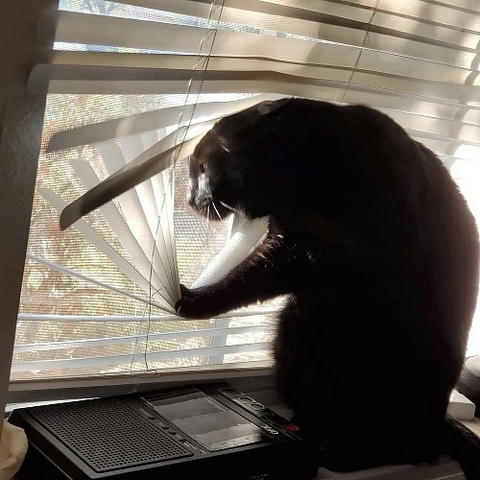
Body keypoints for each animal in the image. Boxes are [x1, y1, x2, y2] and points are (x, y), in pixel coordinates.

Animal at [175, 98, 480, 477]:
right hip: (295, 330)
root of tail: (438, 421)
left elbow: (245, 279)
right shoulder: (288, 243)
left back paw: (334, 450)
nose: (189, 199)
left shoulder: (317, 256)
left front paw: (193, 299)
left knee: (409, 448)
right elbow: (248, 276)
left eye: (202, 167)